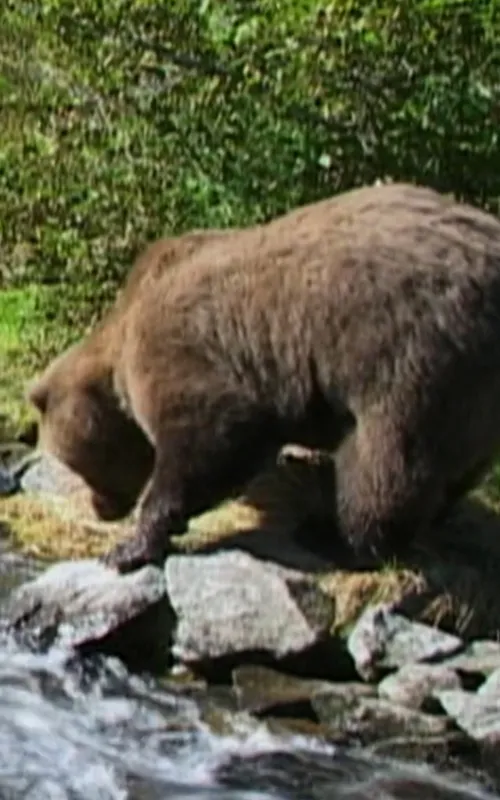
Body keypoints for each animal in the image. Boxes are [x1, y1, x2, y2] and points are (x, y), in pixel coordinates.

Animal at [28, 181, 500, 573]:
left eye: (71, 462)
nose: (100, 509)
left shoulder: (186, 355)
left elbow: (210, 442)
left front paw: (130, 546)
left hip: (410, 354)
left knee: (385, 459)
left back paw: (337, 538)